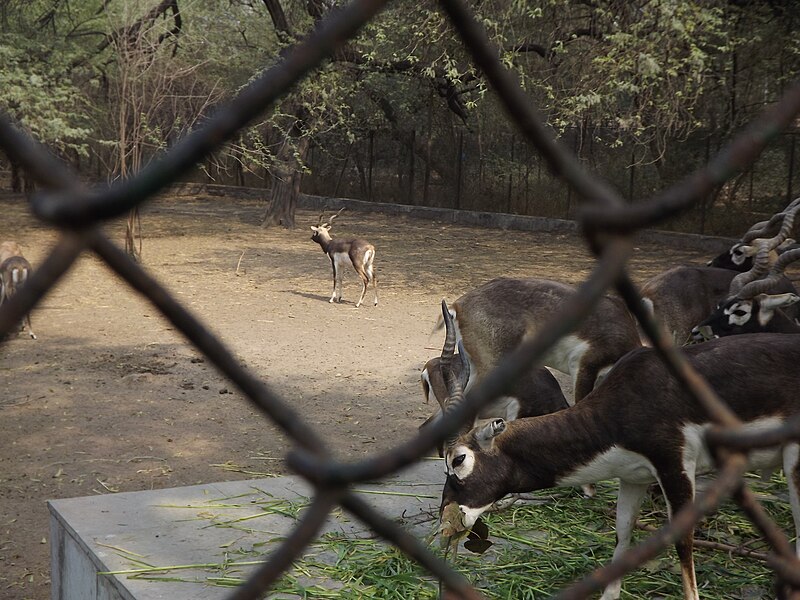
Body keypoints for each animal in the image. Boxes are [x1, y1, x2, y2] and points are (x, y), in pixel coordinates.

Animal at [440, 332, 800, 600]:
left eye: (458, 459)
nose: (447, 521)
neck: (619, 406)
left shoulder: (674, 465)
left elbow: (683, 542)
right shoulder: (633, 478)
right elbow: (623, 533)